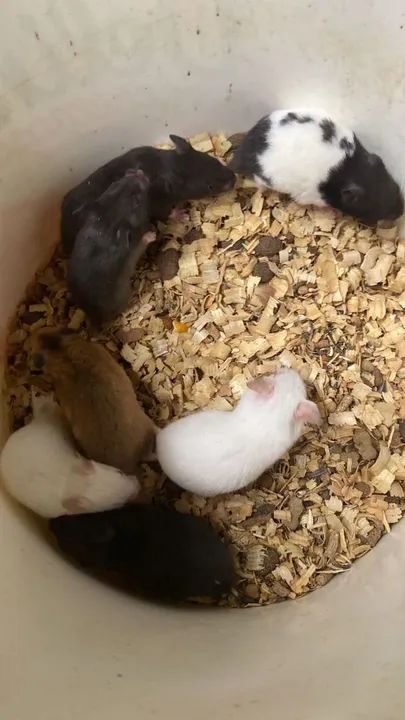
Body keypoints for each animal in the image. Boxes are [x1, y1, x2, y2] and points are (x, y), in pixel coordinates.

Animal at [61, 134, 236, 253]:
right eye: (210, 186)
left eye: (213, 160)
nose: (234, 179)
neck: (165, 166)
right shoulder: (157, 204)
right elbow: (166, 213)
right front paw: (183, 215)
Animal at [67, 169, 155, 326]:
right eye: (137, 200)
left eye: (115, 183)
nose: (138, 171)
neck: (106, 228)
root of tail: (93, 317)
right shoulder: (134, 250)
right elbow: (143, 241)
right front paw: (153, 233)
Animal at [230, 109, 404, 225]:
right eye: (371, 206)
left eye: (395, 189)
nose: (401, 212)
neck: (350, 169)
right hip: (265, 177)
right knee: (259, 183)